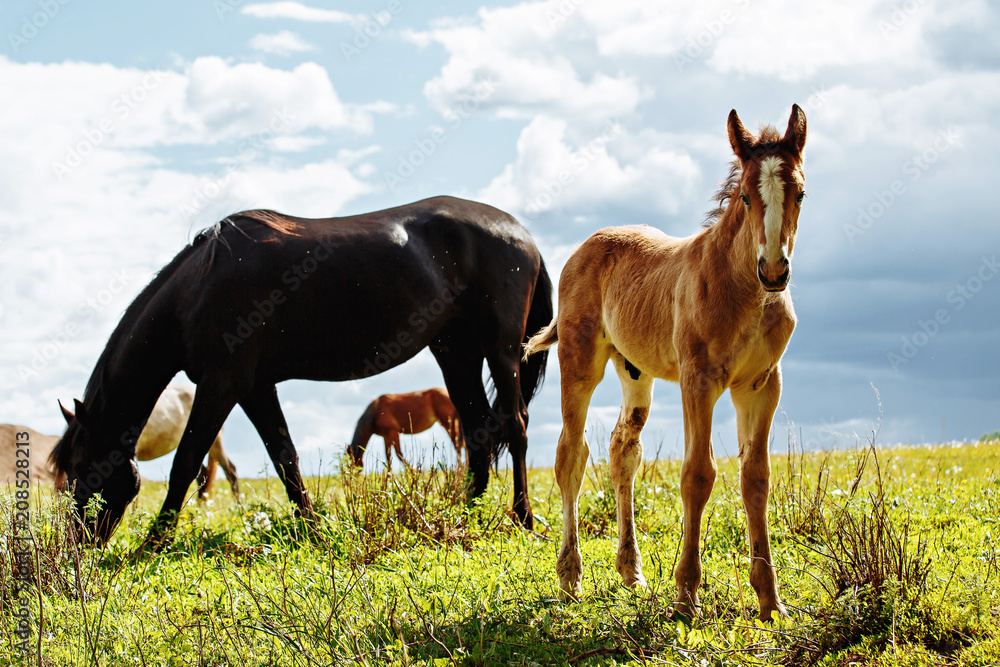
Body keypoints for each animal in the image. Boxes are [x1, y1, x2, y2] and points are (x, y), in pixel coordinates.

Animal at [50, 195, 552, 546]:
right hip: (456, 352)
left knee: (515, 425)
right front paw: (312, 529)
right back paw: (464, 515)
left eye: (80, 467)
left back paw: (523, 518)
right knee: (480, 429)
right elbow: (285, 459)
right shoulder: (255, 388)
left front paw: (151, 545)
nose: (77, 545)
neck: (198, 287)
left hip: (502, 350)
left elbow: (186, 463)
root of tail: (522, 234)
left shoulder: (222, 385)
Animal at [524, 105, 807, 622]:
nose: (774, 271)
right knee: (571, 455)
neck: (745, 291)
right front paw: (686, 595)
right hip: (580, 362)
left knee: (623, 451)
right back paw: (571, 576)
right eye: (745, 196)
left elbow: (755, 478)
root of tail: (585, 246)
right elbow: (698, 475)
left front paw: (770, 601)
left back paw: (631, 572)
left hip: (635, 373)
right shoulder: (698, 381)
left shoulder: (761, 384)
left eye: (800, 192)